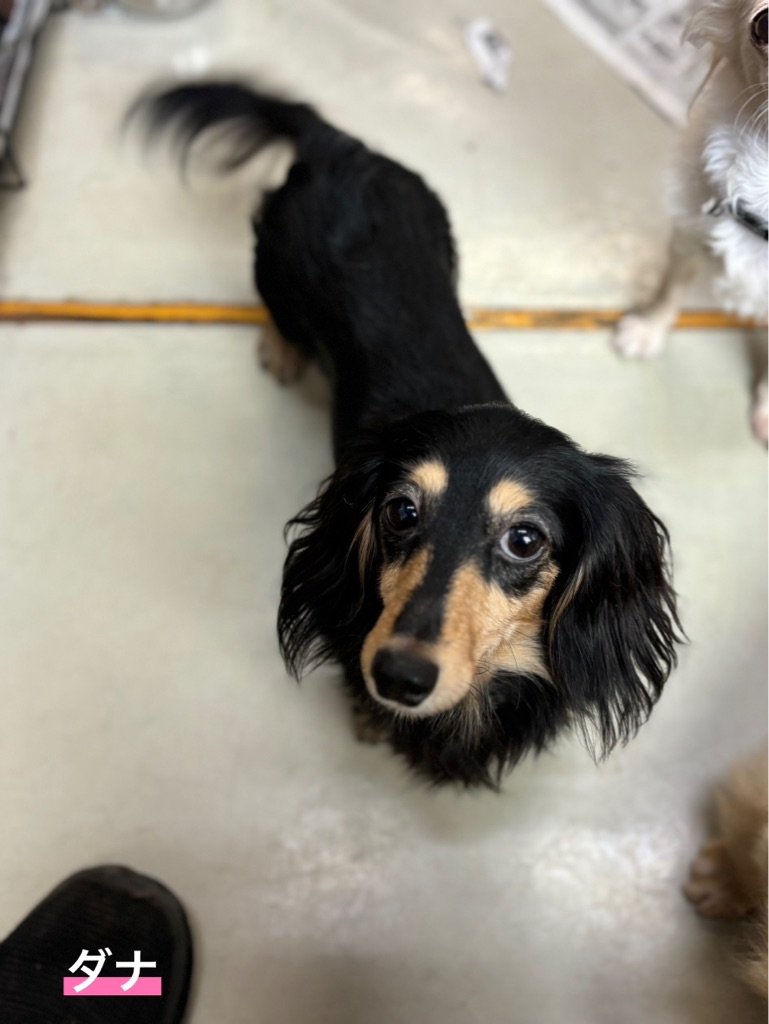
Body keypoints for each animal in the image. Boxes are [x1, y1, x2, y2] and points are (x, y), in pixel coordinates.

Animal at [140, 83, 681, 787]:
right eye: (400, 511)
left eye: (526, 539)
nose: (398, 677)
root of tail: (344, 147)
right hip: (275, 267)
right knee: (279, 311)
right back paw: (283, 350)